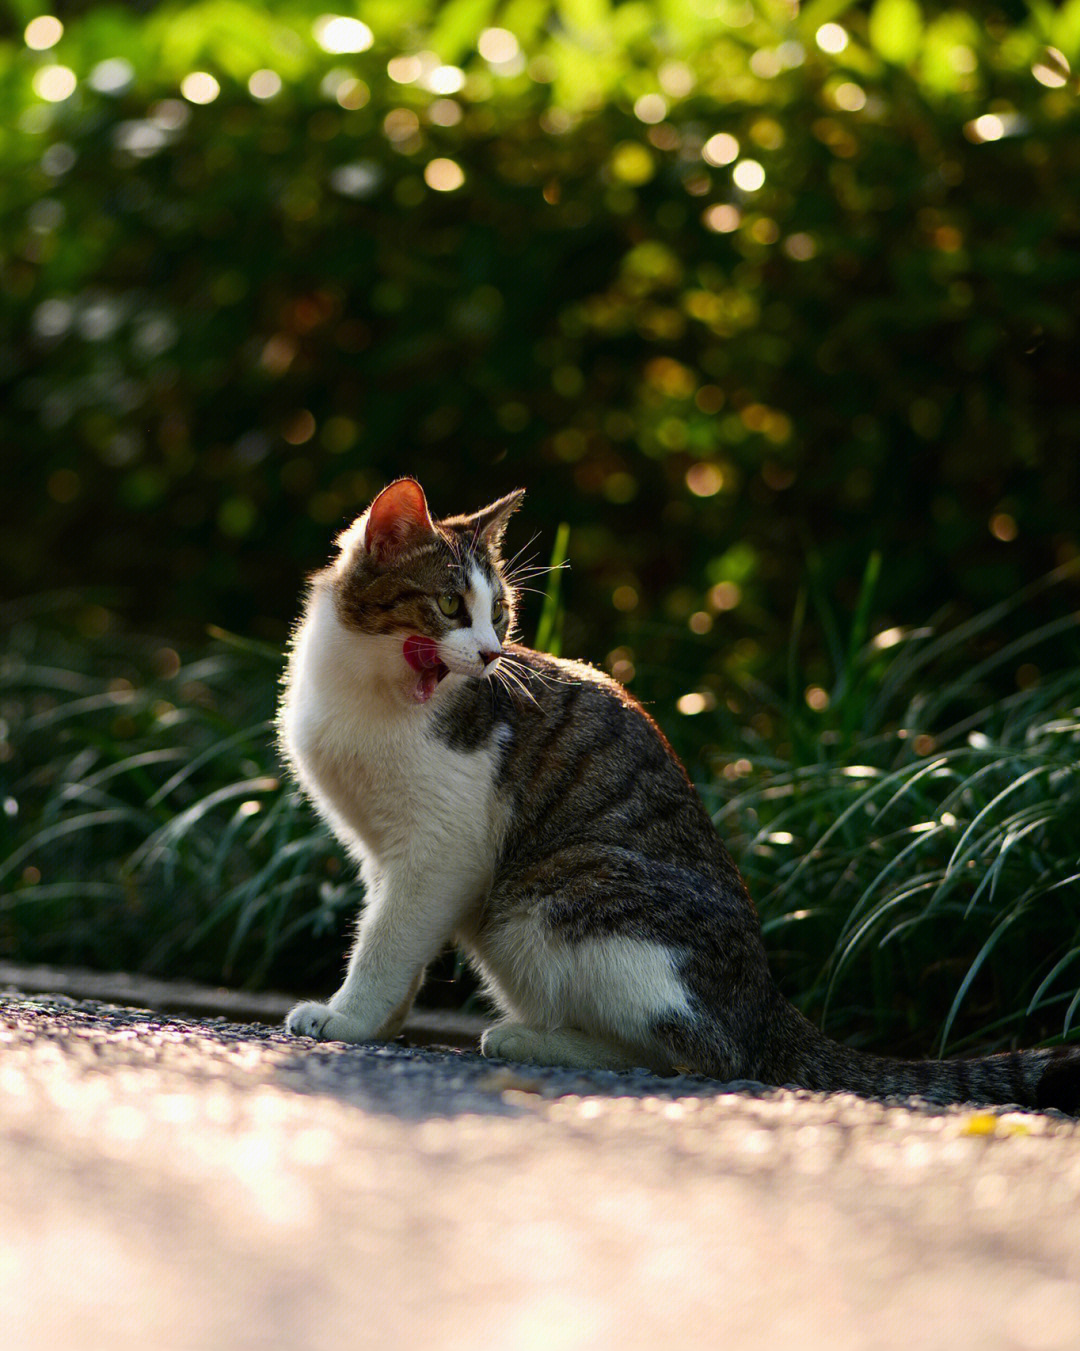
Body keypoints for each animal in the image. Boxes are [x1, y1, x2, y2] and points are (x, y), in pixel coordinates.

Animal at [277, 480, 1080, 1113]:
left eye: (498, 613)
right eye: (449, 603)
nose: (492, 654)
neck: (370, 689)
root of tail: (765, 1003)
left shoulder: (443, 846)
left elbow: (389, 937)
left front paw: (349, 1018)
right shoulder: (383, 851)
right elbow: (395, 934)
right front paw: (382, 1025)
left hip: (560, 890)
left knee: (694, 1053)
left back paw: (532, 1039)